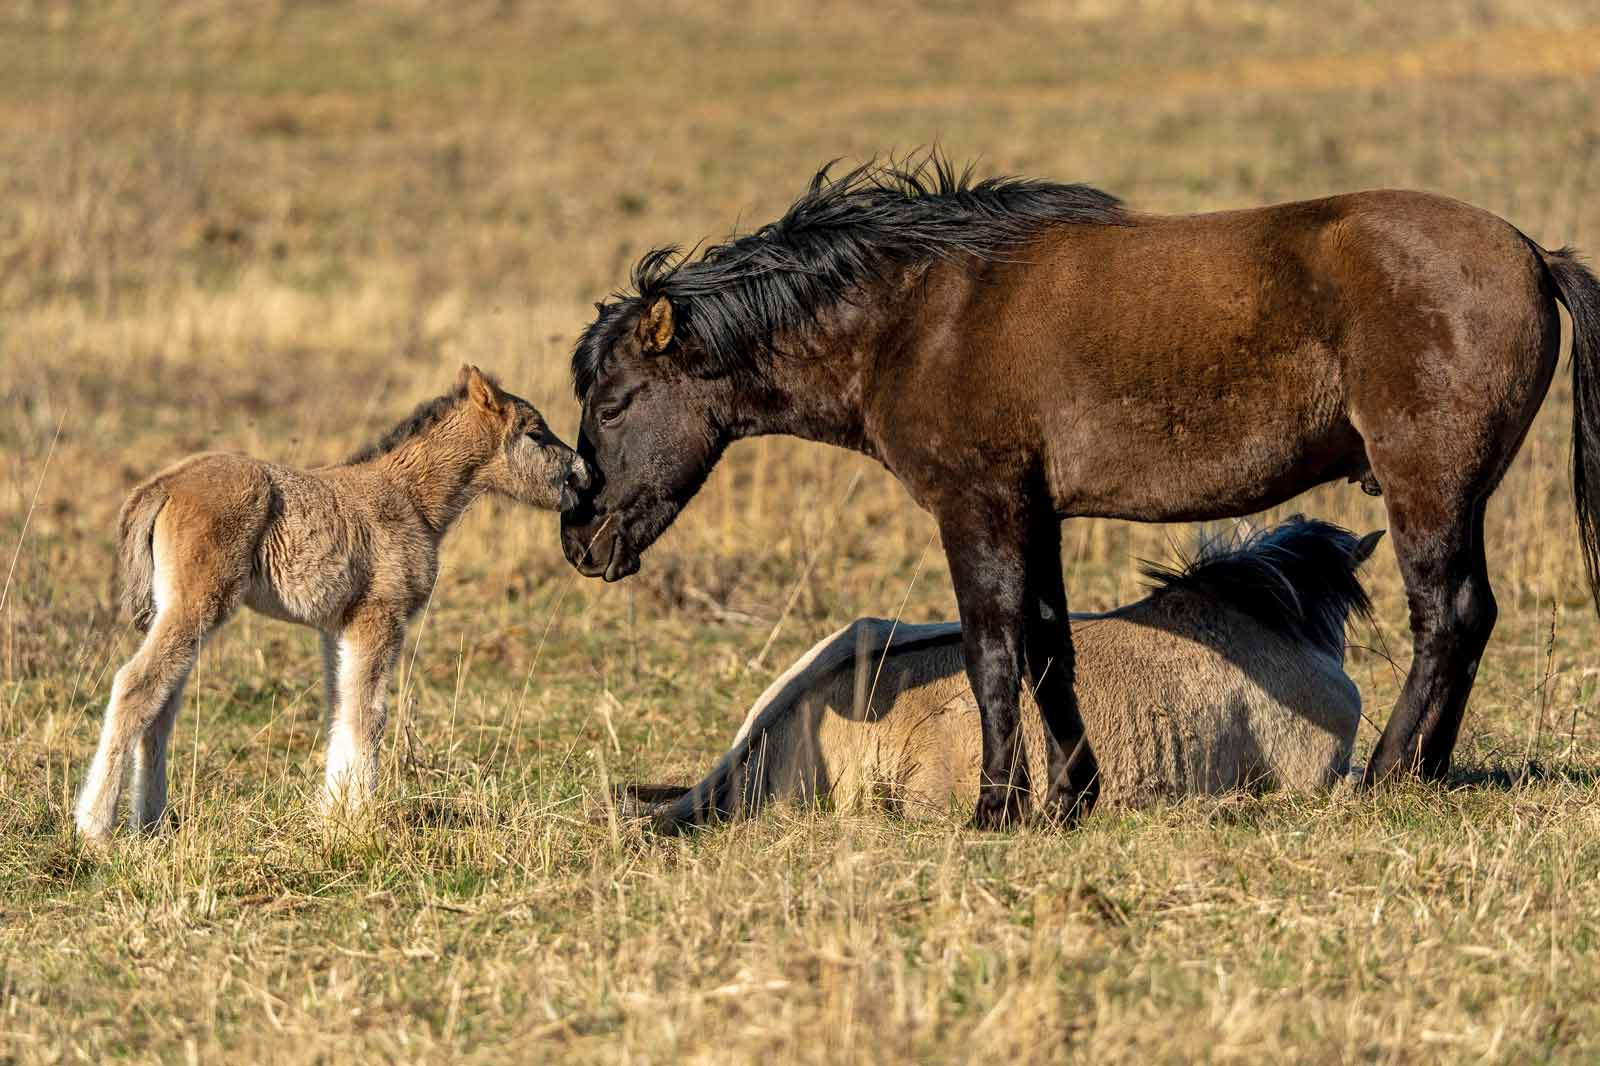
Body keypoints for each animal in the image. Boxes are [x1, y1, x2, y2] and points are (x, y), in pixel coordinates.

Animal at [75, 366, 588, 841]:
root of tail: (161, 485)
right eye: (535, 432)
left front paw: (332, 816)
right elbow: (369, 714)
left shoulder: (338, 625)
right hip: (198, 603)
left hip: (173, 609)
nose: (582, 472)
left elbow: (340, 707)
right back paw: (95, 827)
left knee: (162, 706)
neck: (411, 497)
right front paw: (358, 820)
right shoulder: (380, 615)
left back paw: (151, 825)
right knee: (136, 685)